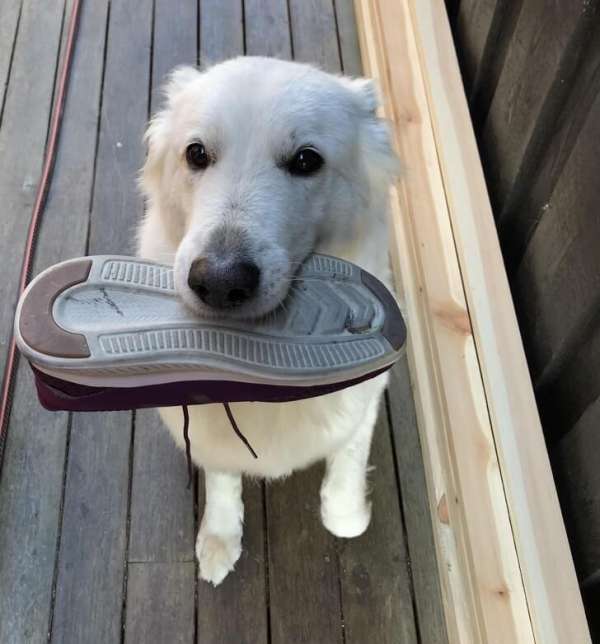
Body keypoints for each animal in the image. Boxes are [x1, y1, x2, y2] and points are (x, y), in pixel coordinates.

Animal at [137, 57, 398, 588]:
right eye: (196, 154)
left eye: (306, 161)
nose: (218, 282)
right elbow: (222, 475)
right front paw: (220, 538)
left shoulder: (365, 400)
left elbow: (343, 483)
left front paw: (348, 514)